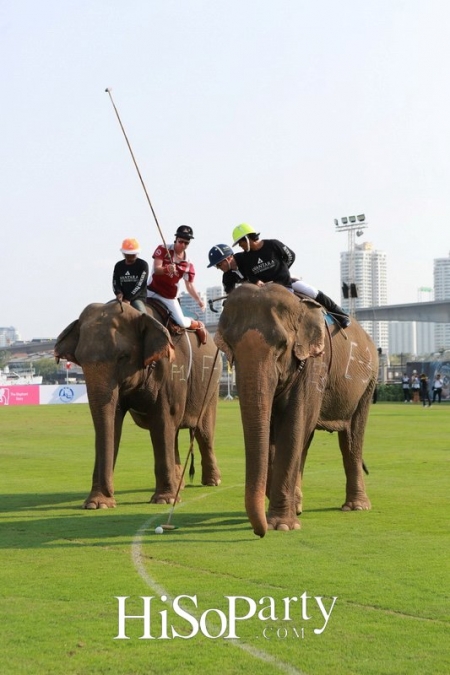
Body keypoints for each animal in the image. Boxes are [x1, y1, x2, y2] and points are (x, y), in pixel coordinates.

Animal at [54, 304, 221, 510]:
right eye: (80, 359)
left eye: (123, 357)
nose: (109, 497)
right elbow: (113, 424)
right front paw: (97, 504)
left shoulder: (170, 368)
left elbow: (163, 421)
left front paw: (164, 501)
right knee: (174, 432)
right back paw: (179, 486)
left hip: (212, 383)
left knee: (203, 432)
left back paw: (212, 482)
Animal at [216, 282, 378, 536]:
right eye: (230, 347)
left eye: (282, 346)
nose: (259, 532)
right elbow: (277, 433)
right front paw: (283, 513)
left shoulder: (314, 363)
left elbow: (292, 426)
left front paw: (281, 525)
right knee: (308, 440)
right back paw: (301, 505)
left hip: (368, 383)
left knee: (351, 438)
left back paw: (356, 507)